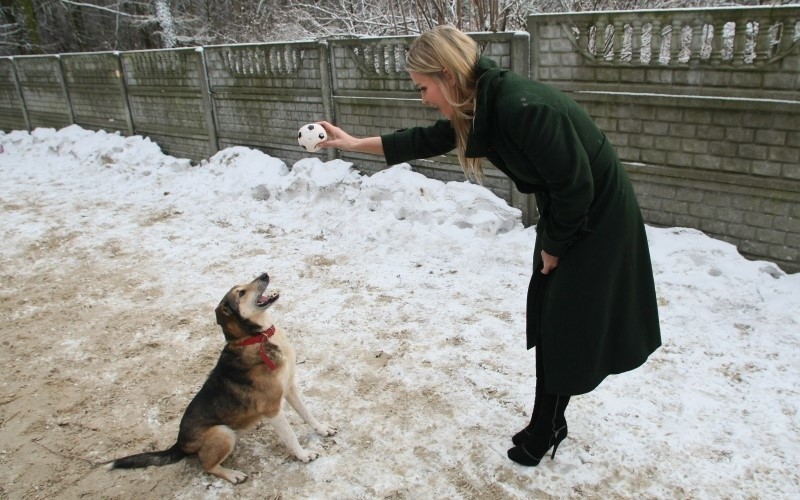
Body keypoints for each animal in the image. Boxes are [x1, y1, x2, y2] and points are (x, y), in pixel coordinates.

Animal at [108, 274, 336, 484]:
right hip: (222, 432)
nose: (264, 274)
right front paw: (304, 455)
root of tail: (179, 443)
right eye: (241, 293)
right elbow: (290, 436)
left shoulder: (290, 387)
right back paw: (233, 475)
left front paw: (322, 429)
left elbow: (307, 414)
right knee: (207, 466)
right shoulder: (271, 409)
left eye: (243, 285)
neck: (256, 337)